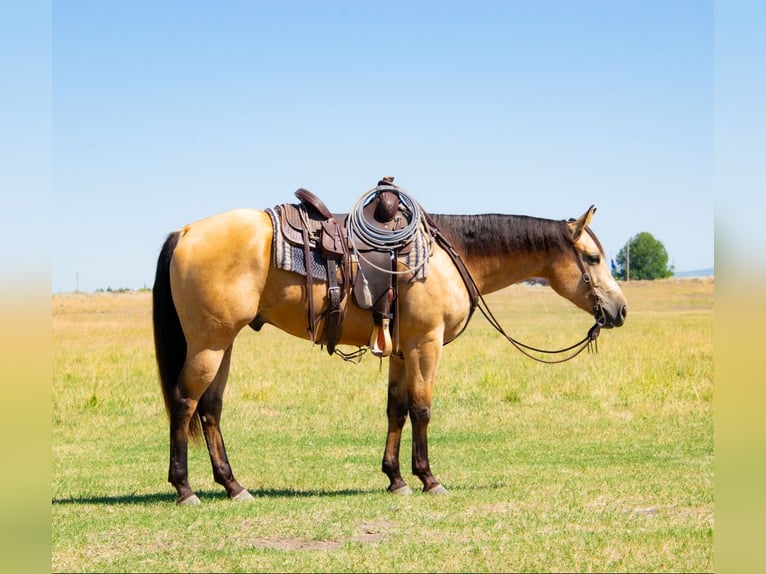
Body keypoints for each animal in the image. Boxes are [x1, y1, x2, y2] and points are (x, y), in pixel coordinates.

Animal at [152, 198, 627, 505]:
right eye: (591, 257)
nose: (620, 310)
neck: (446, 256)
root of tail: (187, 231)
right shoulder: (425, 344)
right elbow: (421, 409)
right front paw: (429, 478)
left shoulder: (401, 351)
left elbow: (396, 410)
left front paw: (396, 478)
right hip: (209, 344)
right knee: (184, 402)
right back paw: (185, 489)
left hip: (223, 343)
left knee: (210, 409)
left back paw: (233, 486)